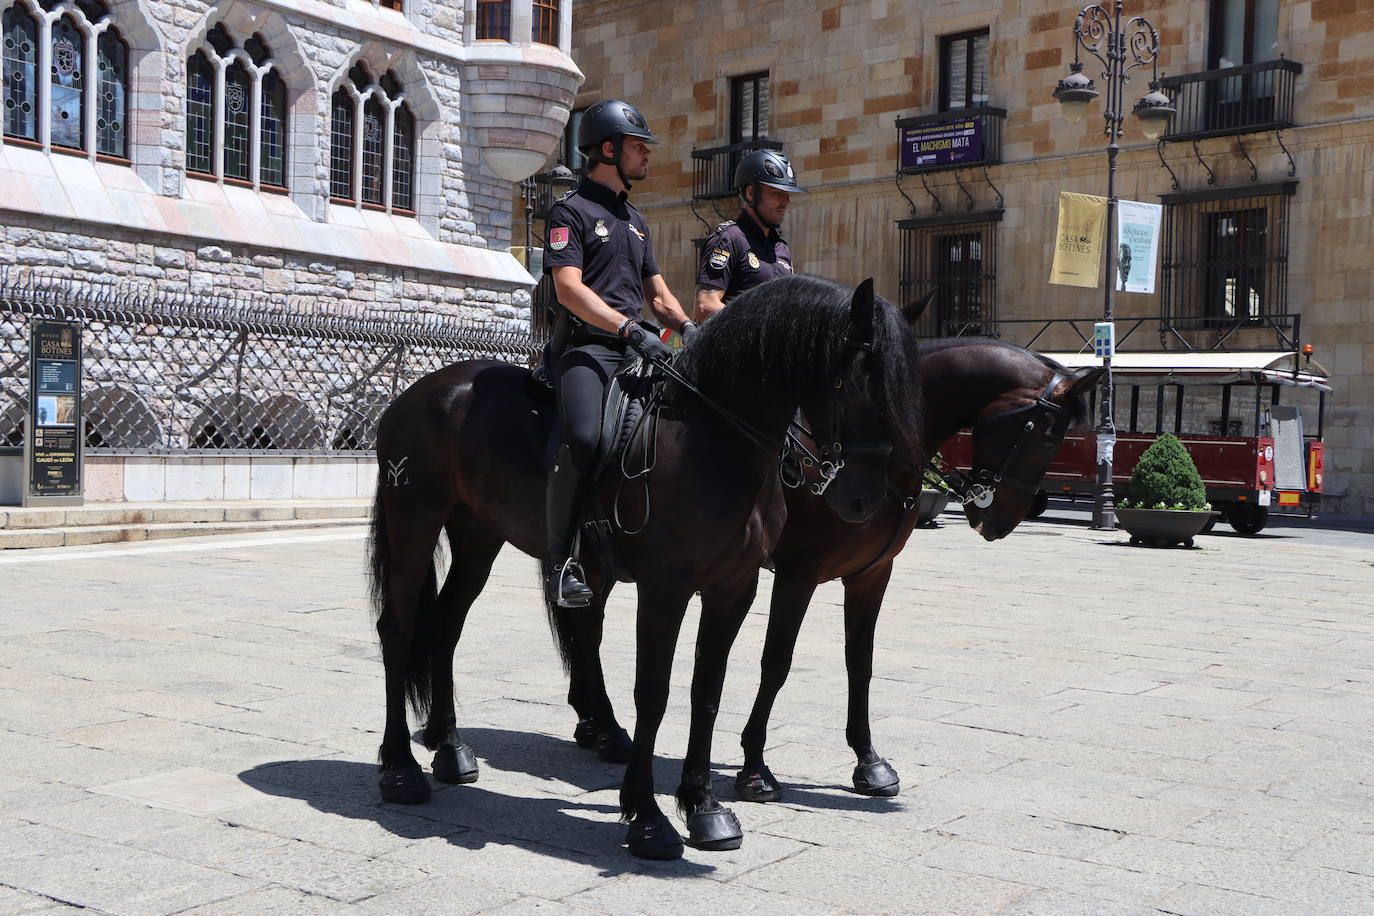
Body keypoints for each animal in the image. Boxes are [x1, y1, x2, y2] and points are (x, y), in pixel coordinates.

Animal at [365, 276, 923, 862]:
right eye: (855, 383)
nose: (866, 500)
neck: (713, 438)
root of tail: (419, 392)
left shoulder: (735, 589)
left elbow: (708, 690)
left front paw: (703, 807)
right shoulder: (667, 589)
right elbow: (653, 692)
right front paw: (649, 818)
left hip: (478, 536)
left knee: (446, 625)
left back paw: (451, 749)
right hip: (414, 520)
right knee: (398, 629)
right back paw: (401, 770)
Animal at [730, 336, 1104, 802]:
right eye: (1051, 436)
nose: (1001, 523)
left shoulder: (872, 574)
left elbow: (861, 661)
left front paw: (868, 760)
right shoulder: (797, 575)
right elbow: (777, 662)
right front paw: (754, 766)